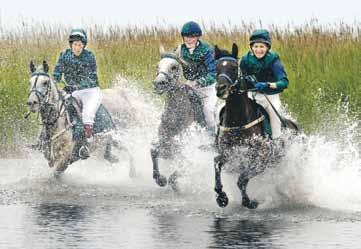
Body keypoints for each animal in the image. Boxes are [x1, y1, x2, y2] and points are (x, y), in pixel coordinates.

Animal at [150, 47, 205, 189]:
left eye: (174, 67)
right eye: (157, 66)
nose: (158, 83)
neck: (174, 121)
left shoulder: (189, 154)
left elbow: (183, 168)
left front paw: (172, 183)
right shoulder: (165, 146)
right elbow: (154, 151)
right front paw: (160, 179)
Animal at [212, 43, 296, 209]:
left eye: (234, 67)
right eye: (216, 67)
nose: (221, 89)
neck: (238, 121)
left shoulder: (261, 160)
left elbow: (242, 180)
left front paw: (250, 202)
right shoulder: (228, 154)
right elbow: (217, 163)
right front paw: (221, 197)